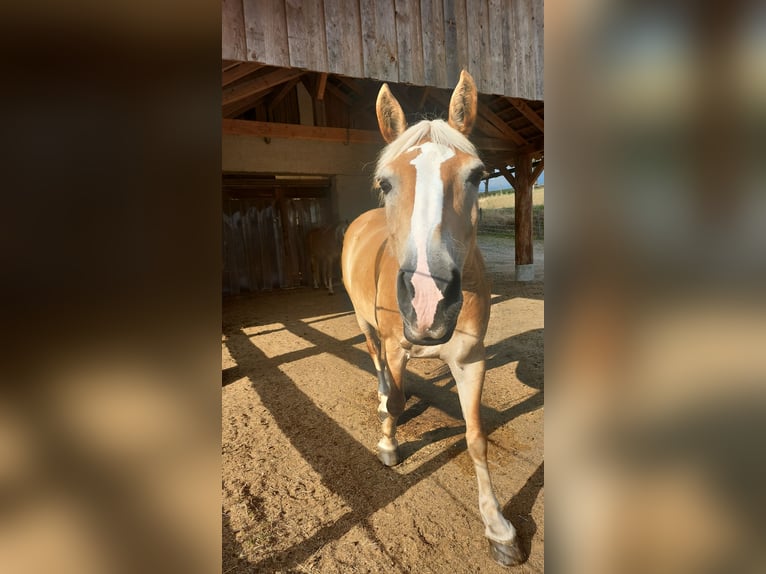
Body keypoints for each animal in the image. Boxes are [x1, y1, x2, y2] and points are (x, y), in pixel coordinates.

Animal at [344, 71, 524, 568]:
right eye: (385, 183)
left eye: (477, 175)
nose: (428, 302)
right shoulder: (396, 345)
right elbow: (396, 399)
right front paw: (389, 444)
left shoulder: (470, 360)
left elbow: (477, 436)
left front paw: (498, 527)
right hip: (368, 327)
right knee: (379, 367)